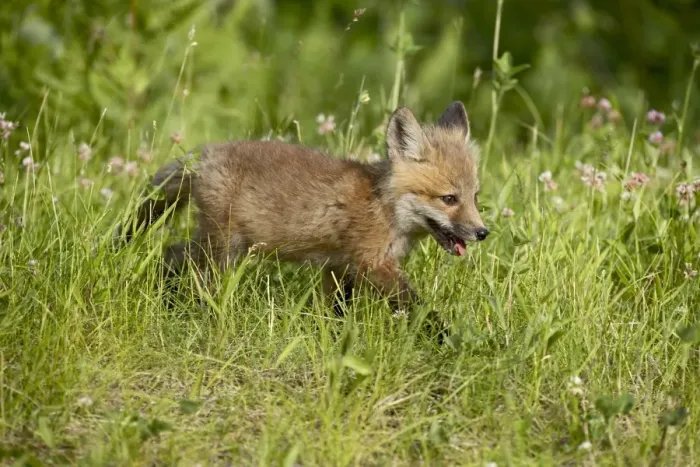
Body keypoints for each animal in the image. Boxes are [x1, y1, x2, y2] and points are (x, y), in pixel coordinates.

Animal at [118, 101, 489, 314]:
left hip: (220, 245)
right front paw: (444, 339)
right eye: (449, 199)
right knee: (190, 269)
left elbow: (338, 313)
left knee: (171, 254)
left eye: (475, 196)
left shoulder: (340, 269)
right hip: (223, 250)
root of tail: (207, 152)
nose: (483, 232)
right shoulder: (372, 264)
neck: (384, 207)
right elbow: (420, 308)